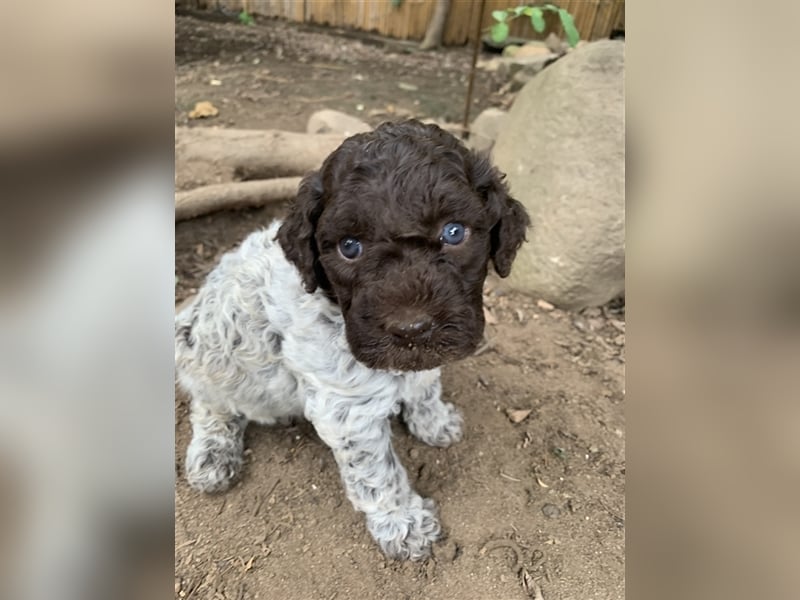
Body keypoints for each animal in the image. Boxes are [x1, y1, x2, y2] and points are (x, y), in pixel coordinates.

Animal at [175, 119, 532, 560]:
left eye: (454, 232)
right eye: (349, 247)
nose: (411, 328)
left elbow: (425, 384)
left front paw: (434, 421)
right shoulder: (346, 410)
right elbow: (378, 474)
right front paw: (403, 523)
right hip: (207, 358)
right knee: (210, 404)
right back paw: (213, 452)